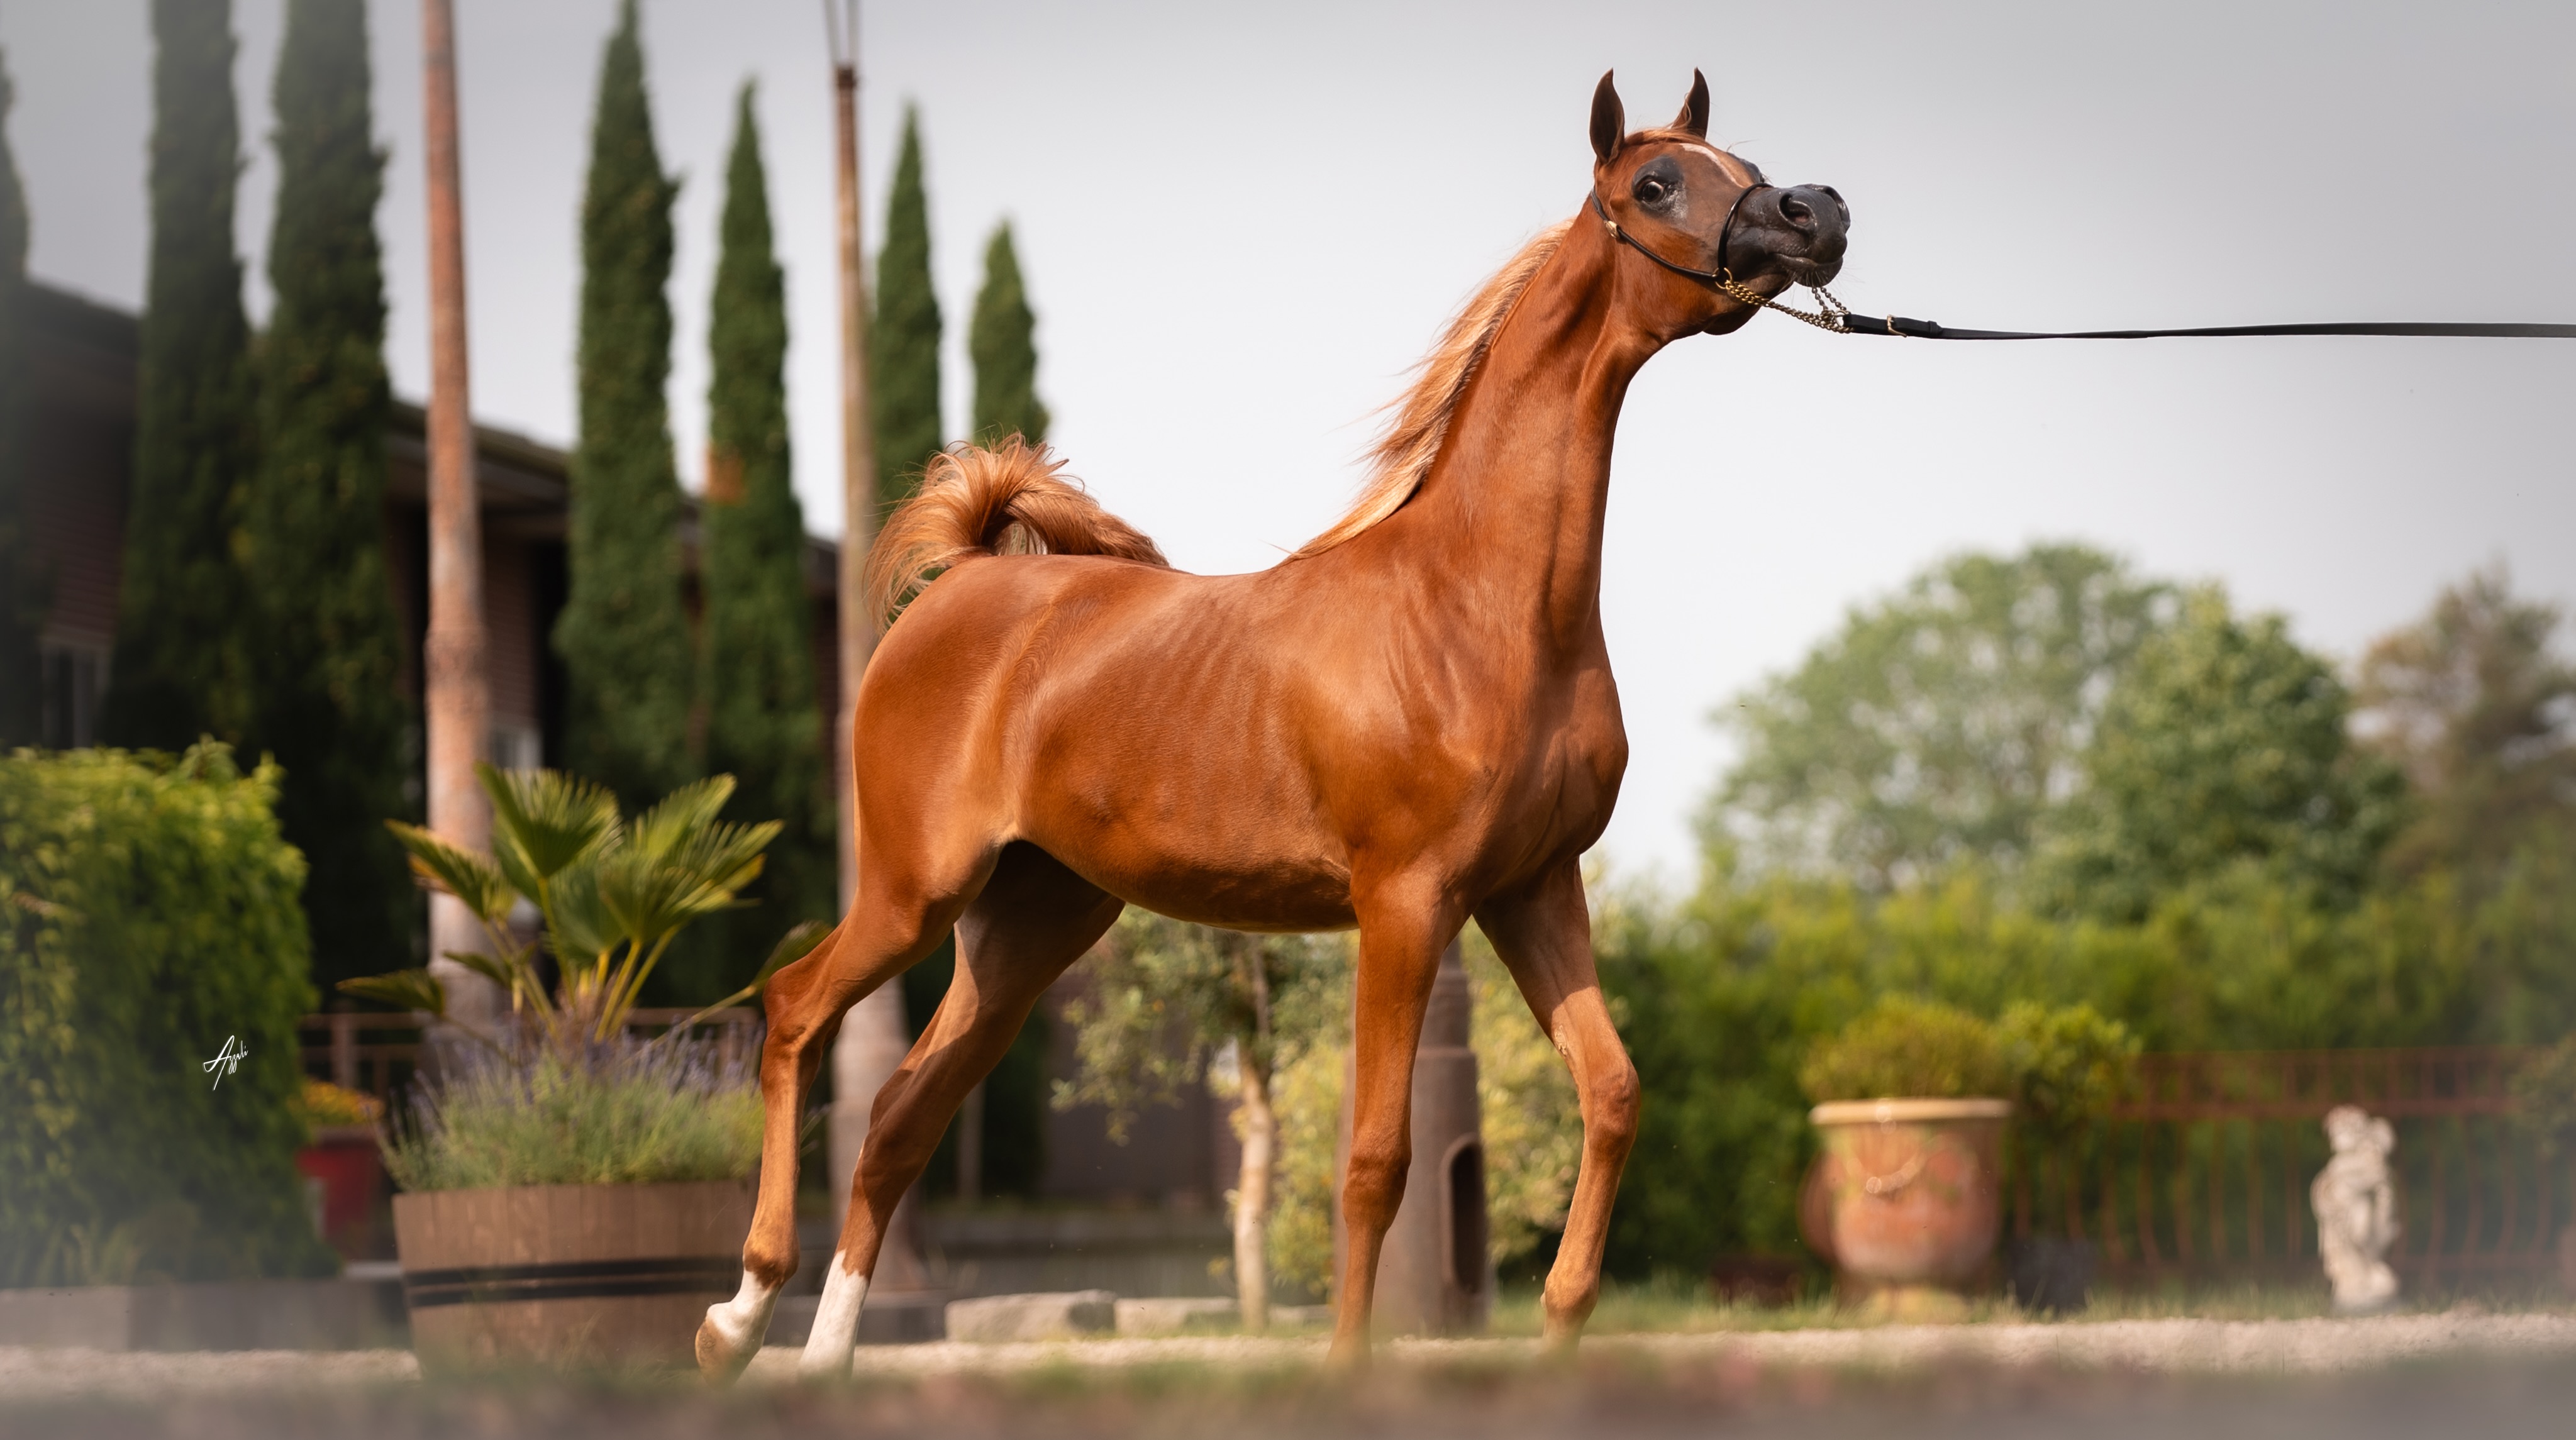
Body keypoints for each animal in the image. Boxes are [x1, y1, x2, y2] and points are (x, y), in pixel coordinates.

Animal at [697, 68, 1849, 1379]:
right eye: (1654, 184)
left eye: (1741, 163)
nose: (1816, 215)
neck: (1475, 605)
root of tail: (973, 579)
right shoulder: (1406, 903)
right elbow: (1374, 1159)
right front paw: (1347, 1369)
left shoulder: (1533, 887)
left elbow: (1611, 1091)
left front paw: (1560, 1324)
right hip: (914, 892)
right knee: (796, 1013)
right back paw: (736, 1318)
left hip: (1028, 926)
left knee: (899, 1116)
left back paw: (826, 1358)